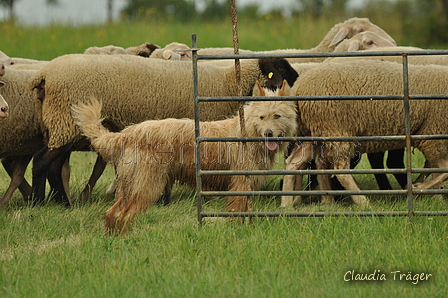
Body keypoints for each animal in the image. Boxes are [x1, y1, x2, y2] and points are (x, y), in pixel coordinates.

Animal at [30, 54, 298, 206]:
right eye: (281, 70)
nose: (296, 82)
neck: (229, 83)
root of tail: (43, 75)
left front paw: (165, 197)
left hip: (61, 124)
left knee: (53, 164)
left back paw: (60, 201)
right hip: (64, 121)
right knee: (43, 161)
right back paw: (44, 203)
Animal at [268, 58, 448, 210]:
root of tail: (298, 87)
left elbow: (432, 167)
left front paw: (431, 194)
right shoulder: (434, 135)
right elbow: (443, 169)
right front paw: (423, 189)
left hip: (315, 134)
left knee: (295, 162)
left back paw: (291, 204)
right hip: (336, 130)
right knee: (340, 169)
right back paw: (363, 202)